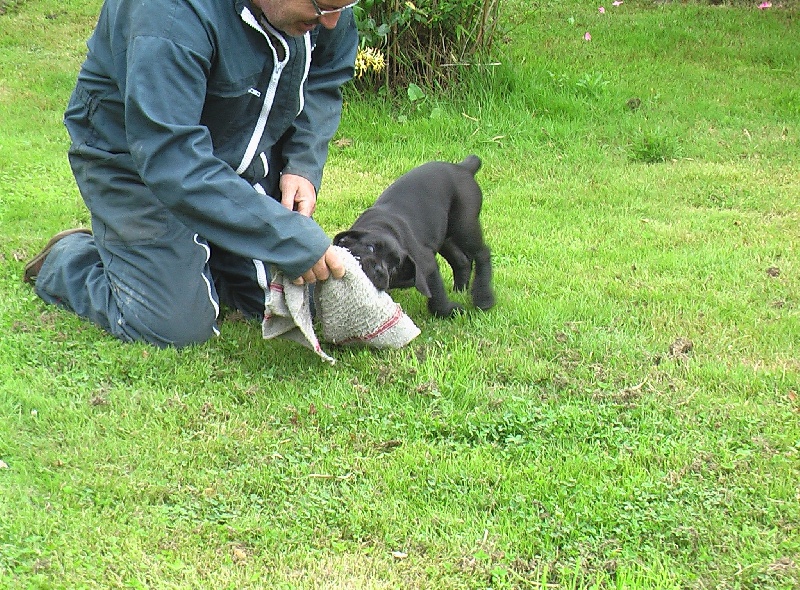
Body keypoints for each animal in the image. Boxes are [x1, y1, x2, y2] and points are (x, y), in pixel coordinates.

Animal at [332, 155, 494, 316]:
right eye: (370, 248)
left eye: (394, 267)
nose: (379, 269)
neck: (386, 229)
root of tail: (463, 168)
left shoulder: (428, 266)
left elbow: (437, 295)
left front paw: (449, 311)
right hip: (444, 237)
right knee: (461, 260)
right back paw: (459, 290)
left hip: (465, 226)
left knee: (482, 253)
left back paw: (484, 298)